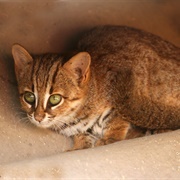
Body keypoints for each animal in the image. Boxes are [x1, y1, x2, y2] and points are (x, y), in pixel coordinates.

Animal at [11, 25, 179, 149]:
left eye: (55, 99)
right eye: (29, 96)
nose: (38, 118)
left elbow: (117, 120)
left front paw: (111, 137)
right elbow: (81, 136)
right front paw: (79, 145)